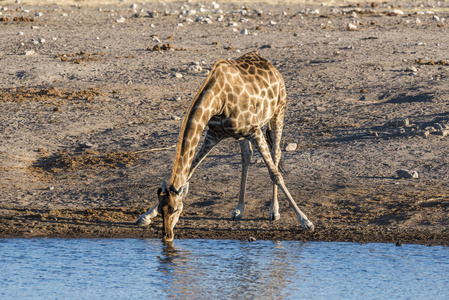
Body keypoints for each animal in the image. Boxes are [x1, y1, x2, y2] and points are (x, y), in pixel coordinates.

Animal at [136, 49, 316, 241]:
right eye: (162, 210)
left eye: (176, 209)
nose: (167, 236)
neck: (217, 100)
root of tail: (270, 65)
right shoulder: (213, 135)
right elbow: (190, 170)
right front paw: (146, 215)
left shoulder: (254, 130)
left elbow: (275, 174)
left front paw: (305, 221)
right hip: (244, 133)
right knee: (246, 157)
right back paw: (239, 209)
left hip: (278, 111)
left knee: (276, 154)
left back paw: (273, 211)